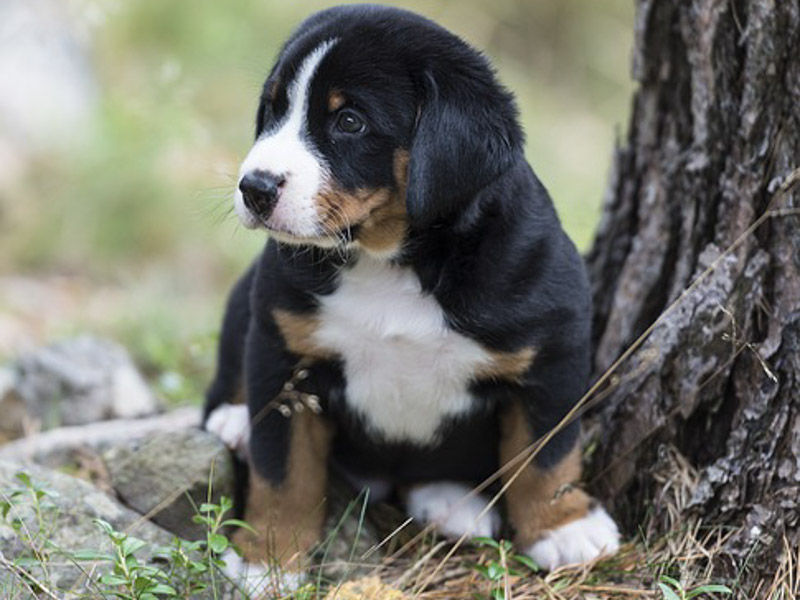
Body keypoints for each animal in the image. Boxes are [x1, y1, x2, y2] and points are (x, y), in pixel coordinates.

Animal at [203, 1, 620, 592]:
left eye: (349, 121)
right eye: (273, 109)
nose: (255, 187)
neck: (391, 262)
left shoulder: (552, 351)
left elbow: (546, 454)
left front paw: (564, 527)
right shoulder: (284, 351)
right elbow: (282, 472)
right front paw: (268, 561)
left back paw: (452, 502)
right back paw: (235, 420)